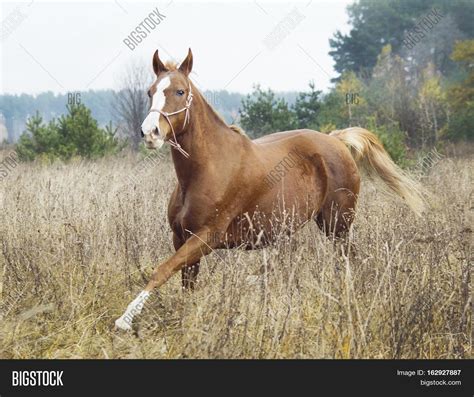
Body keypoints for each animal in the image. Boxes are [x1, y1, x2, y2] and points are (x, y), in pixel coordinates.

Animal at [114, 48, 422, 330]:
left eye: (179, 91)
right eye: (150, 91)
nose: (150, 133)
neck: (205, 170)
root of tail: (337, 140)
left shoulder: (206, 237)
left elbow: (161, 270)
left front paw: (125, 319)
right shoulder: (181, 237)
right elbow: (185, 283)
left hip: (338, 224)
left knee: (349, 259)